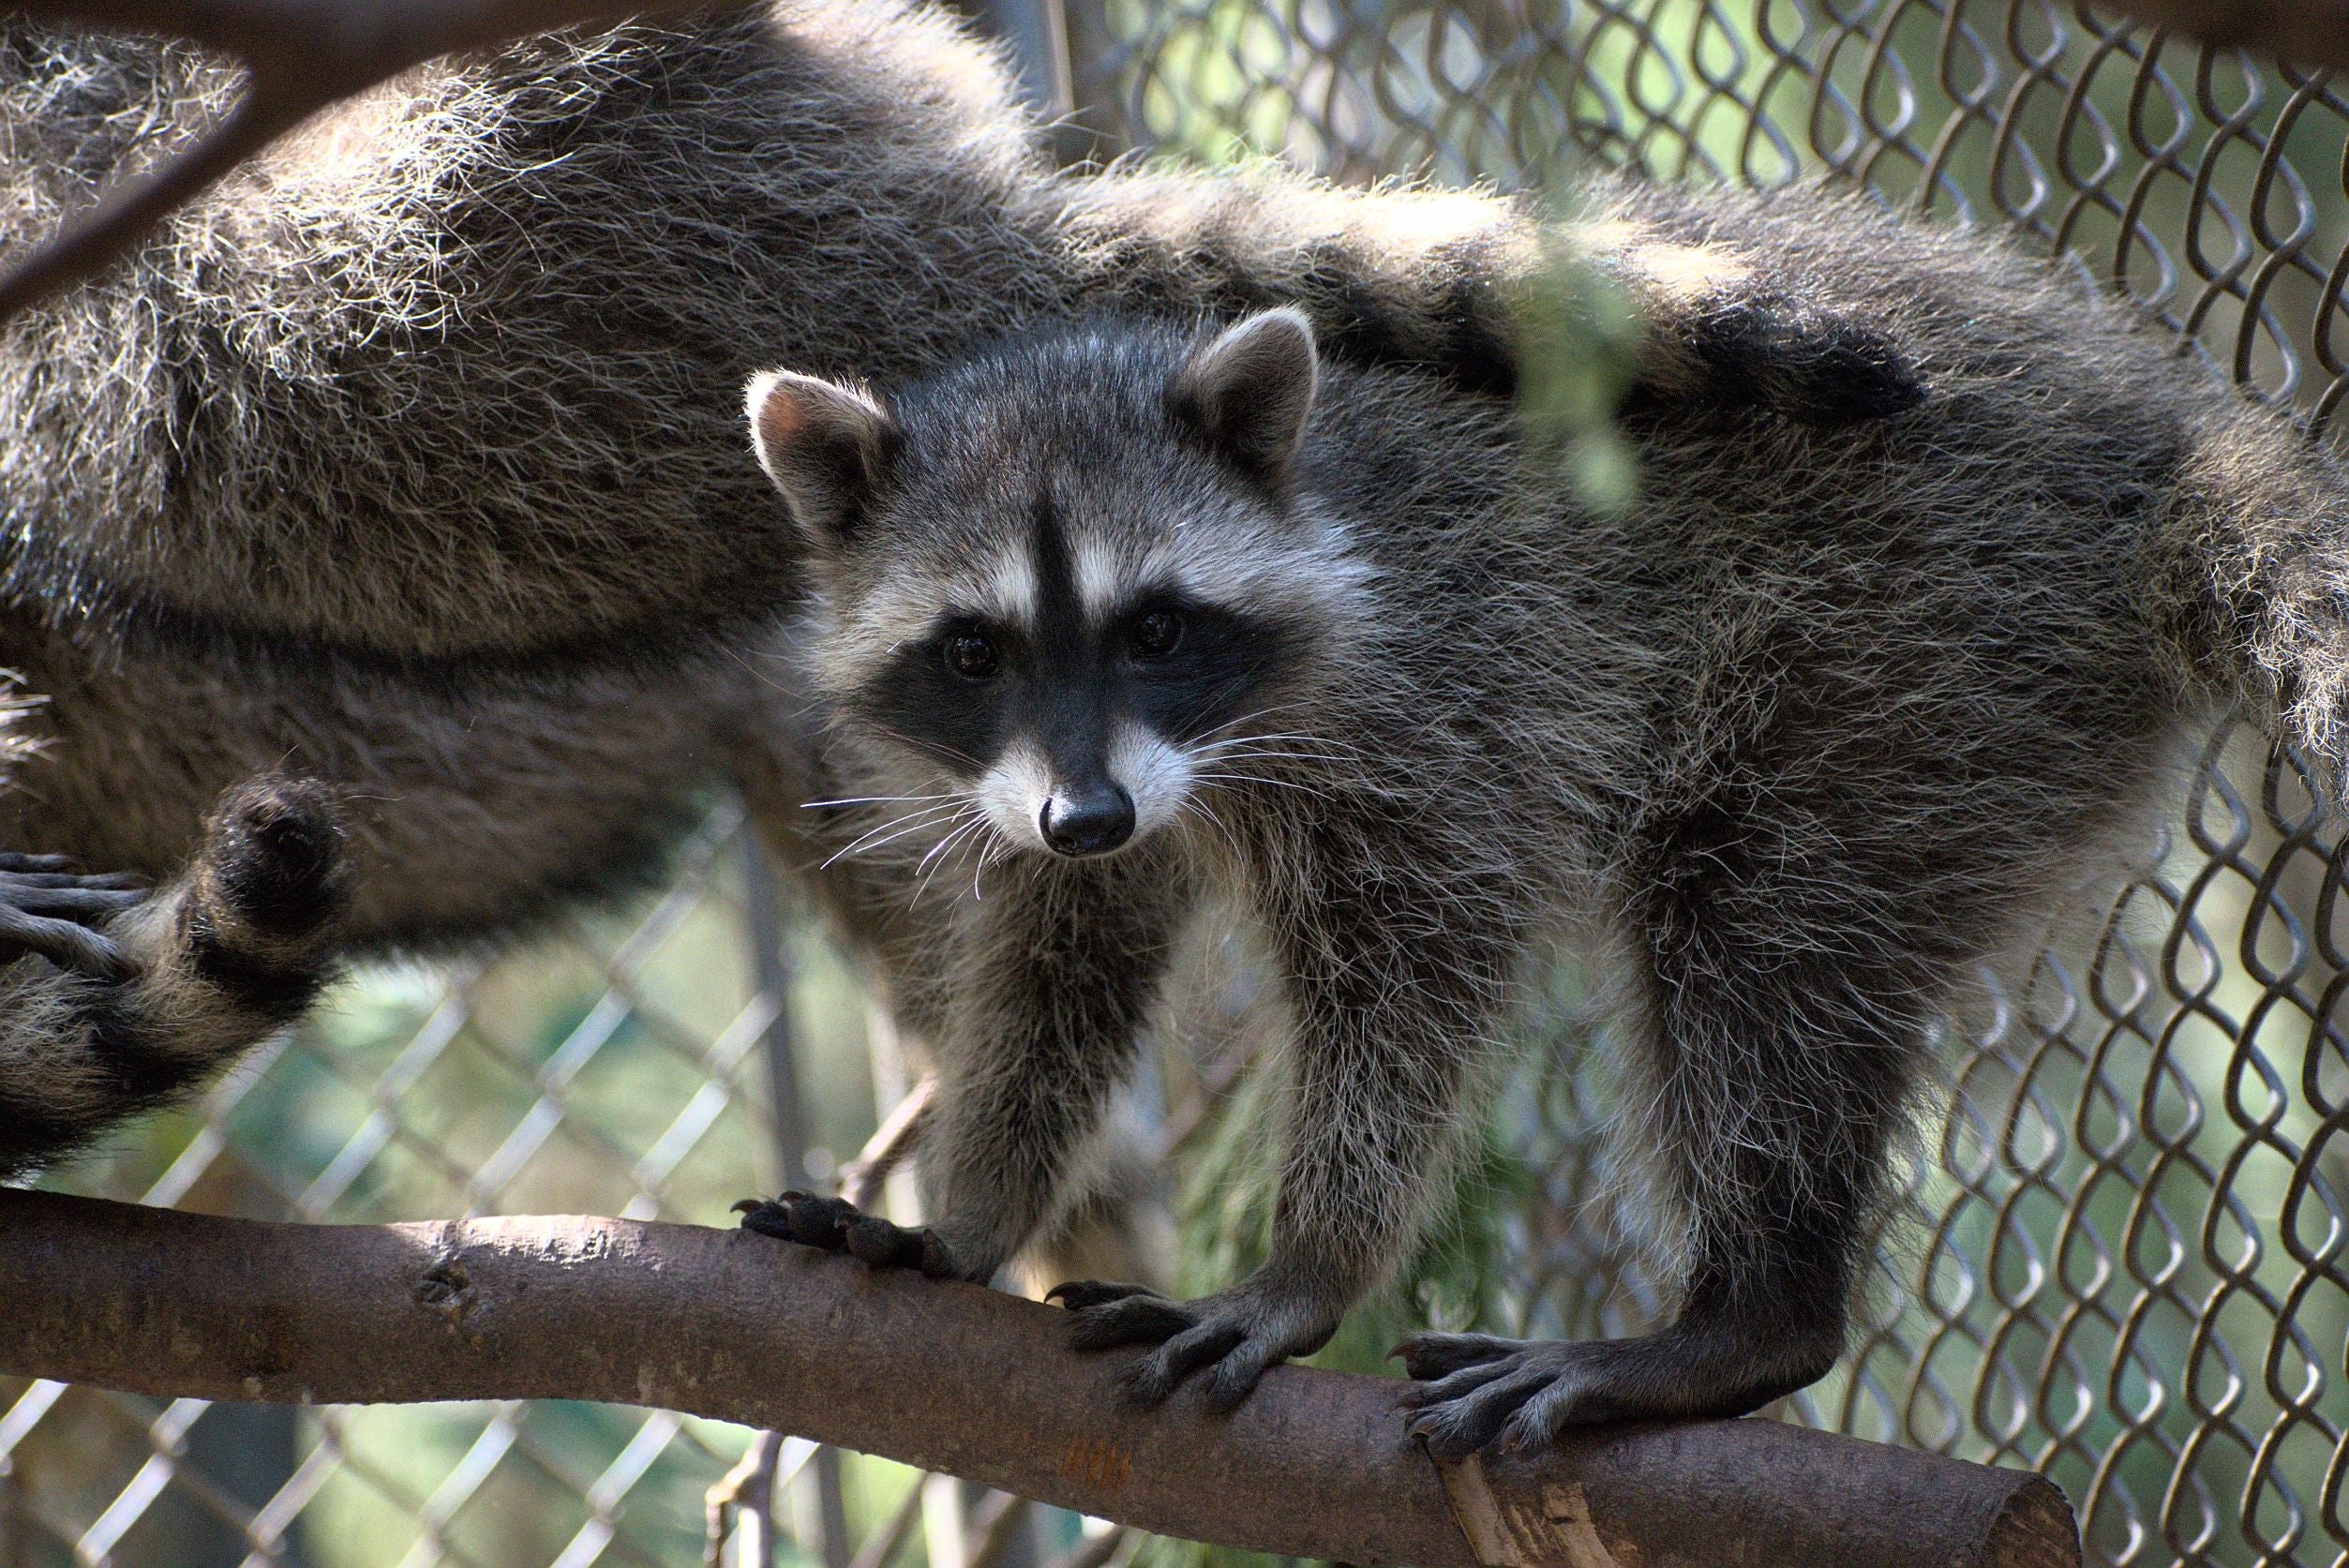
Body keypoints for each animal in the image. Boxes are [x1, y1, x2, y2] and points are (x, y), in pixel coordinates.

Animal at [734, 178, 2349, 1448]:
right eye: (972, 650)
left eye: (1155, 627)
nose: (1088, 814)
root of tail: (2152, 441)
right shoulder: (1048, 789)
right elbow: (1058, 969)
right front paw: (971, 1216)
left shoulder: (1443, 699)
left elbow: (1416, 970)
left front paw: (1312, 1263)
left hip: (1915, 641)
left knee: (1756, 944)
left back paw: (1751, 1312)